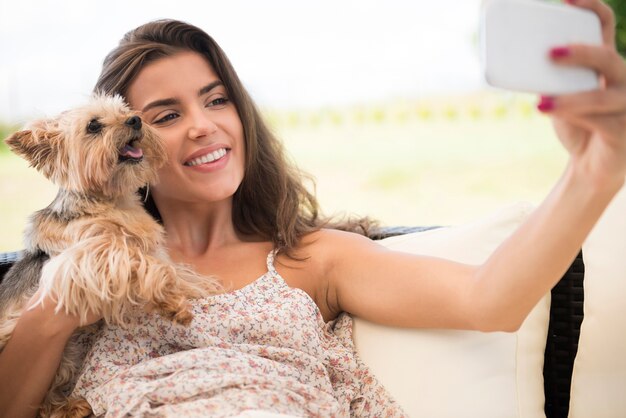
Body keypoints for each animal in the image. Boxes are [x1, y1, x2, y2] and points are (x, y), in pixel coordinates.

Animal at [0, 95, 219, 418]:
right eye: (93, 125)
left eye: (125, 111)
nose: (136, 120)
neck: (113, 200)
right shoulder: (89, 254)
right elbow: (137, 260)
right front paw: (171, 302)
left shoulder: (151, 247)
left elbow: (172, 268)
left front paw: (199, 287)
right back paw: (70, 406)